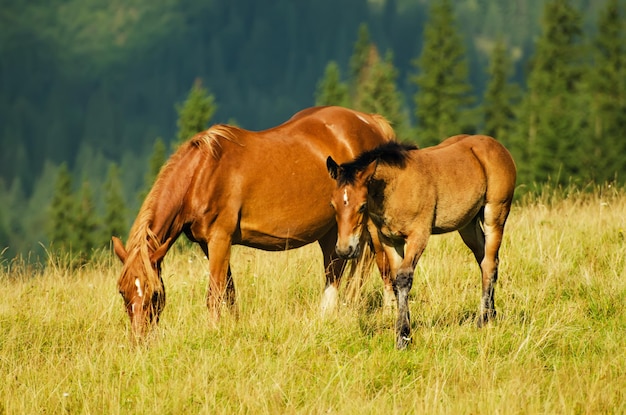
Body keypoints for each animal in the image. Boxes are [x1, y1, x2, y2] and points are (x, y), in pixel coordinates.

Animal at [111, 105, 394, 340]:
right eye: (123, 292)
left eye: (154, 293)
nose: (139, 341)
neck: (201, 174)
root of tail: (371, 121)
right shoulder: (209, 245)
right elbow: (229, 291)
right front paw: (234, 326)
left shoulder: (220, 239)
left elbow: (215, 294)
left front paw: (213, 332)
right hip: (332, 230)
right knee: (335, 270)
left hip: (368, 225)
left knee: (382, 263)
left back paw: (389, 312)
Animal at [324, 135, 516, 350]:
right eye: (333, 204)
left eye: (362, 206)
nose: (344, 250)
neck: (397, 187)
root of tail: (497, 146)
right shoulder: (389, 240)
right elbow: (395, 279)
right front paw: (404, 329)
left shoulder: (419, 235)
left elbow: (404, 278)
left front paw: (403, 337)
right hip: (468, 225)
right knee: (485, 261)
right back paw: (491, 314)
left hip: (495, 215)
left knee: (489, 263)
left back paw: (483, 320)